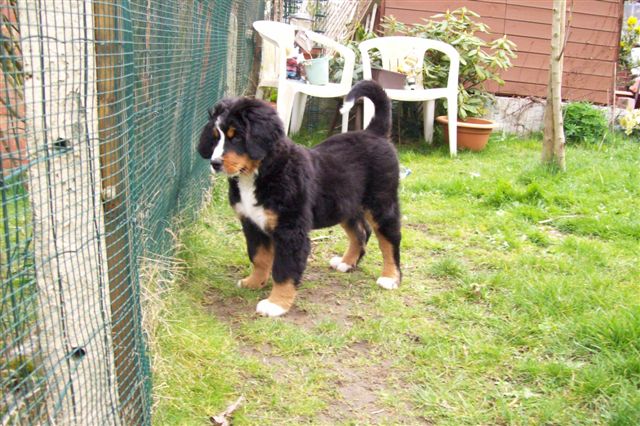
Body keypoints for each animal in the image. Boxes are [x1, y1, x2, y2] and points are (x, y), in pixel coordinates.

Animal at [197, 80, 401, 317]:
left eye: (236, 136)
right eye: (215, 137)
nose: (215, 163)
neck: (262, 172)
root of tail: (374, 132)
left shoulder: (290, 230)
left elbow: (284, 269)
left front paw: (276, 304)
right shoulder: (252, 223)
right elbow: (259, 257)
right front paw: (253, 283)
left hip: (382, 203)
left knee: (390, 241)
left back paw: (390, 277)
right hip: (344, 205)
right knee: (361, 231)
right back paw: (346, 263)